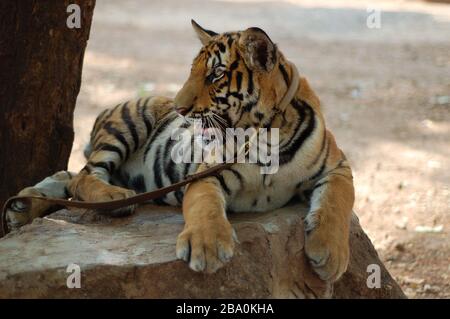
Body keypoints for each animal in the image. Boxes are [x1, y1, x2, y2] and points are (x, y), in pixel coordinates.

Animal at [5, 20, 354, 282]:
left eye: (216, 75)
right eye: (193, 71)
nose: (179, 108)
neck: (268, 134)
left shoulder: (338, 166)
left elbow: (336, 204)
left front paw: (330, 254)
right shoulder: (207, 175)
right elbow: (204, 207)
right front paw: (207, 248)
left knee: (70, 177)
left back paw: (23, 205)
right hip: (130, 120)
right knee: (84, 176)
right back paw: (113, 199)